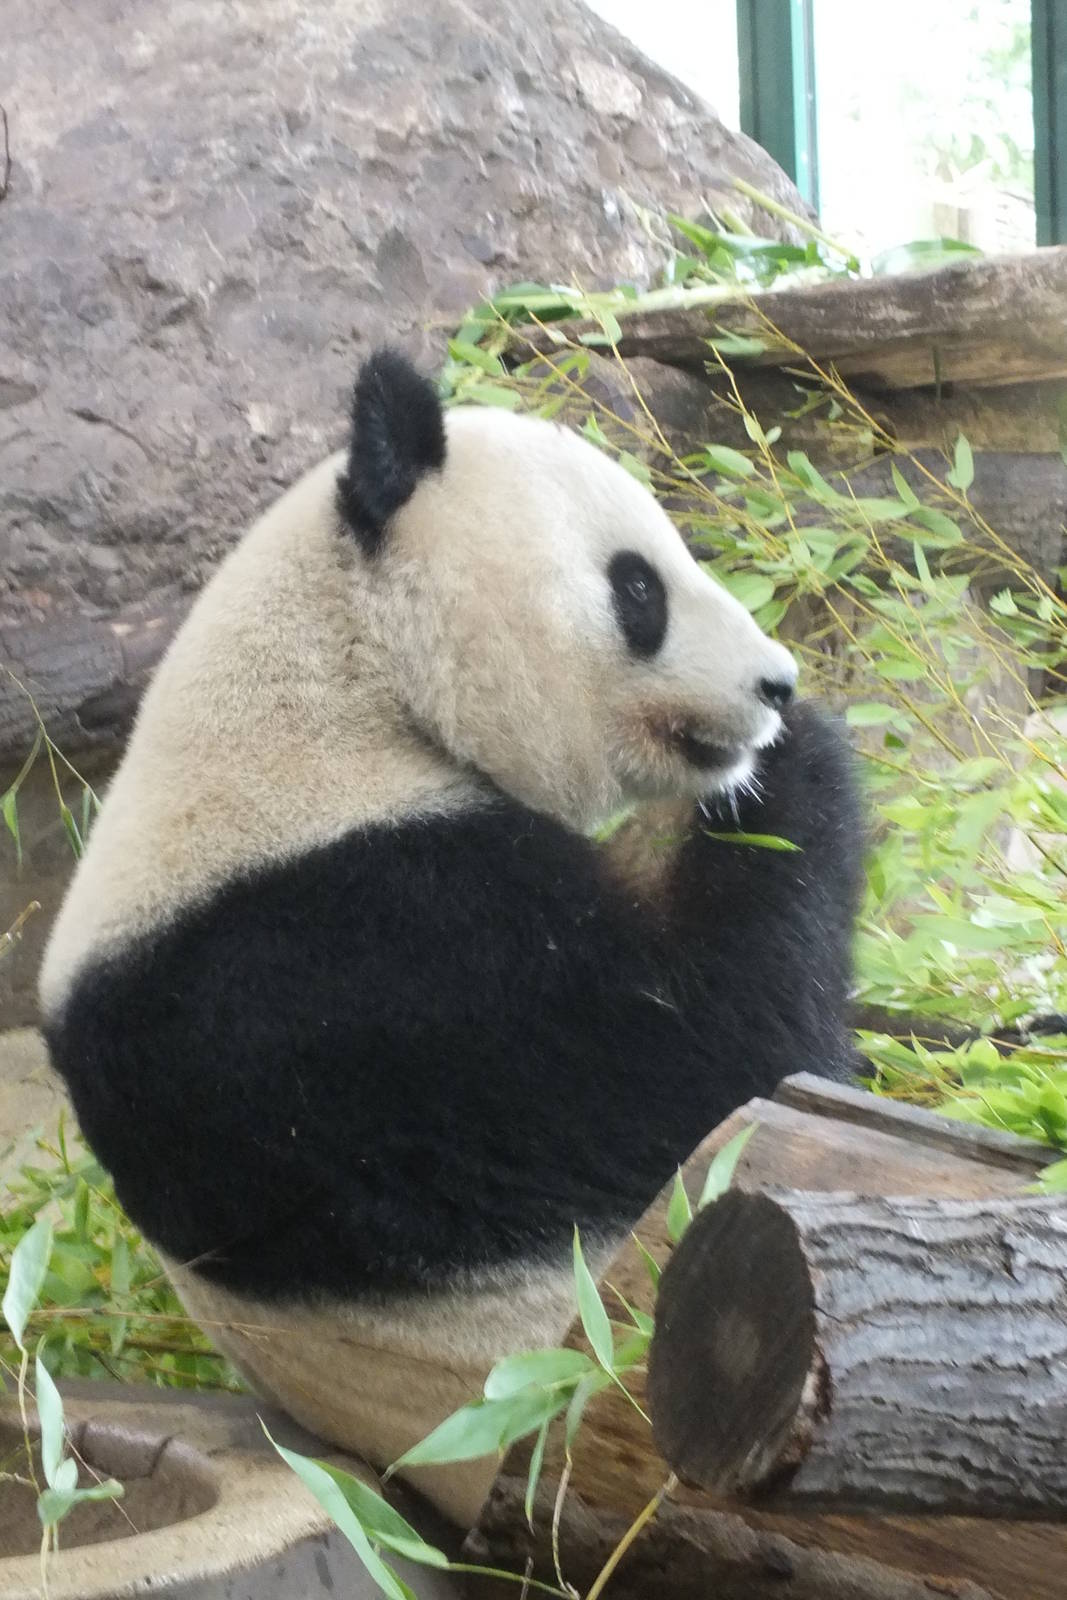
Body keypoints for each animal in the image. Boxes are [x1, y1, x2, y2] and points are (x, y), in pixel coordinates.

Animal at [40, 350, 861, 1524]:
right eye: (638, 588)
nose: (775, 682)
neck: (341, 685)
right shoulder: (358, 955)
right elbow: (724, 1069)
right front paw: (803, 763)